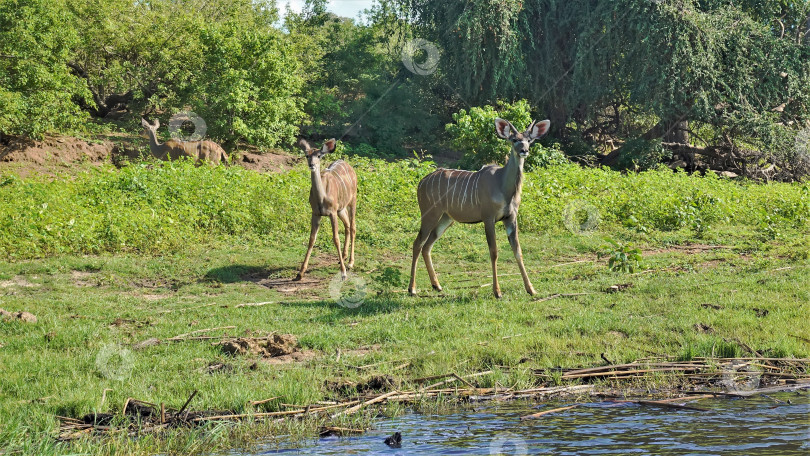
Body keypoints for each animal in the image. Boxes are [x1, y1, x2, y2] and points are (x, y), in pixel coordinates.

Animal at [290, 138, 354, 282]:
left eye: (319, 156)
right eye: (307, 155)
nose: (312, 164)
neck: (322, 198)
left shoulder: (332, 213)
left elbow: (336, 238)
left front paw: (343, 273)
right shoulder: (316, 213)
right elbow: (311, 239)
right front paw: (300, 273)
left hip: (353, 201)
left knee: (353, 227)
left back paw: (350, 263)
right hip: (341, 209)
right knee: (347, 225)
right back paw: (344, 256)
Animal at [410, 116, 548, 300]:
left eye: (529, 140)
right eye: (514, 139)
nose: (524, 150)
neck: (502, 185)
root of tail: (421, 182)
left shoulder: (511, 218)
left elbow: (518, 250)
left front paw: (531, 289)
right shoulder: (488, 218)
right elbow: (494, 252)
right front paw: (497, 292)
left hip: (446, 218)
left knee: (427, 246)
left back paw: (437, 285)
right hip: (429, 213)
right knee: (418, 243)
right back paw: (412, 289)